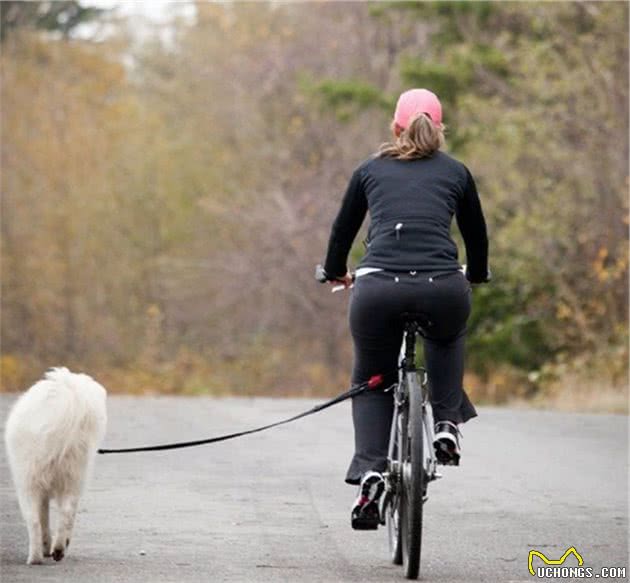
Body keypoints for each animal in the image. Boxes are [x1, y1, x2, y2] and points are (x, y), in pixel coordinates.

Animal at [3, 370, 107, 564]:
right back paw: (53, 551)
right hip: (68, 476)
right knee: (61, 513)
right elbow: (52, 517)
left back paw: (40, 556)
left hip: (31, 481)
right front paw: (52, 546)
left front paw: (48, 547)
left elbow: (44, 518)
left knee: (36, 520)